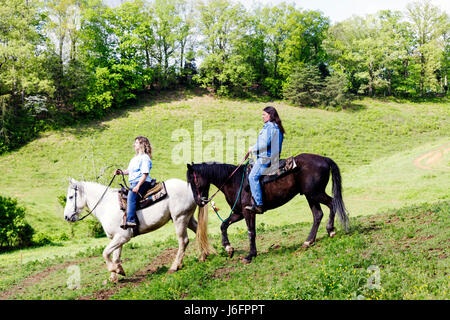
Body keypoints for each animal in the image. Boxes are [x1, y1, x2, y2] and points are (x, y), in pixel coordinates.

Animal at [62, 179, 214, 282]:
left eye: (71, 197)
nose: (66, 217)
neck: (106, 205)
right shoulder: (116, 238)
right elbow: (114, 256)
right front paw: (114, 276)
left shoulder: (123, 237)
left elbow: (105, 253)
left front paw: (116, 270)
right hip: (188, 218)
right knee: (199, 233)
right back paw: (204, 256)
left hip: (180, 218)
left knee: (183, 241)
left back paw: (174, 266)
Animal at [186, 154, 348, 264]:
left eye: (193, 181)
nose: (198, 201)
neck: (234, 181)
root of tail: (324, 159)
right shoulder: (239, 213)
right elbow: (223, 224)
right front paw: (228, 248)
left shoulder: (249, 211)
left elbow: (251, 232)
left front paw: (250, 255)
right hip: (310, 196)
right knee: (317, 215)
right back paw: (308, 242)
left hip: (315, 193)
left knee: (332, 204)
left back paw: (330, 230)